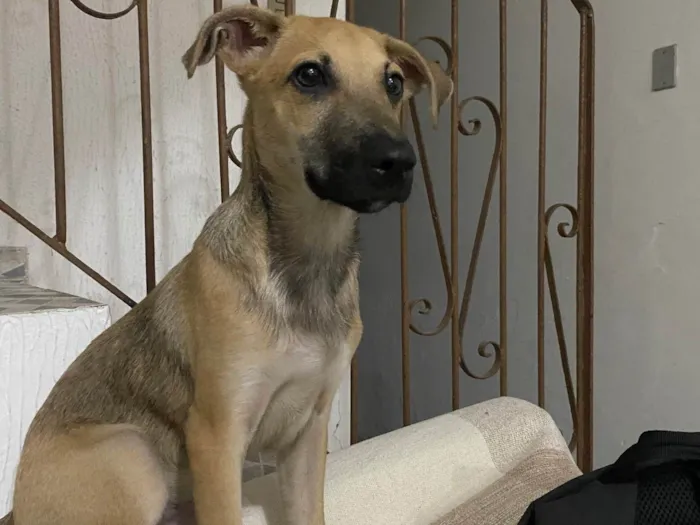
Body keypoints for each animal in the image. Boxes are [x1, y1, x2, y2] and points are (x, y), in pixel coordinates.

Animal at [0, 5, 451, 525]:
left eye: (393, 83)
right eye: (309, 75)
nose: (399, 161)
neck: (305, 262)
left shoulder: (307, 433)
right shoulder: (218, 433)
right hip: (134, 453)